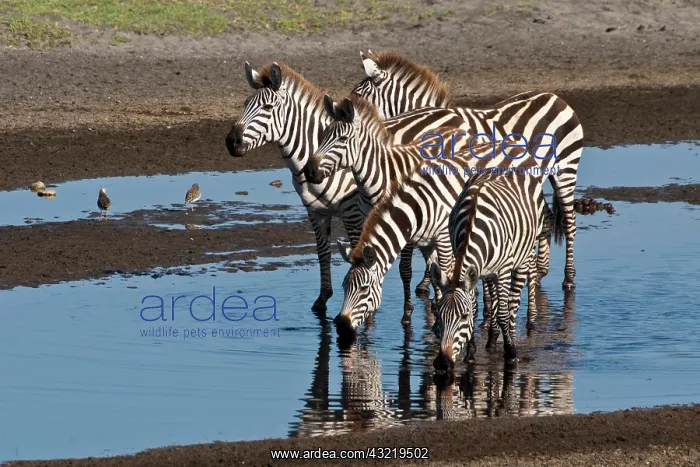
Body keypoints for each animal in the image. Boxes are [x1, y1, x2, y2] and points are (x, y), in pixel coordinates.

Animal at [225, 62, 451, 313]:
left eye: (267, 107)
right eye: (245, 104)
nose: (231, 141)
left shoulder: (353, 214)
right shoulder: (315, 212)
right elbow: (322, 253)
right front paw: (322, 299)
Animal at [351, 50, 583, 292]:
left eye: (358, 95)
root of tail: (555, 97)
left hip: (566, 168)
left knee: (569, 222)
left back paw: (568, 278)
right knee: (545, 216)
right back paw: (540, 269)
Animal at [430, 168, 553, 369]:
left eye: (463, 316)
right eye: (439, 316)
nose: (442, 363)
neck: (471, 222)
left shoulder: (503, 270)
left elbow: (503, 313)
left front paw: (511, 352)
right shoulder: (471, 270)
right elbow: (476, 307)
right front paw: (471, 353)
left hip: (523, 255)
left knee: (513, 302)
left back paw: (515, 333)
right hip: (488, 271)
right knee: (494, 299)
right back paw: (492, 338)